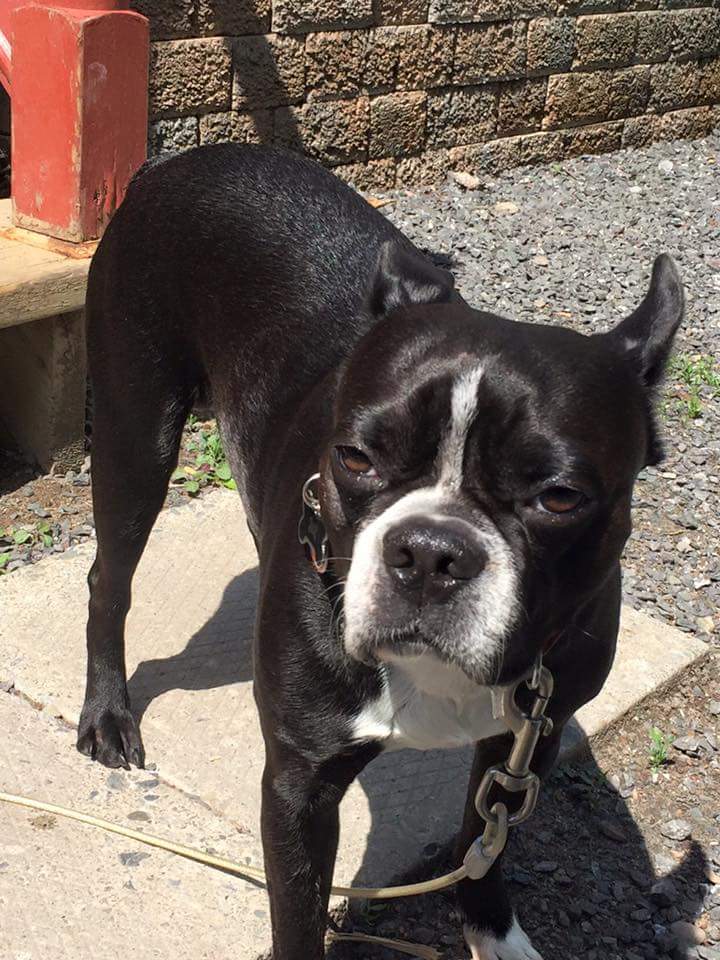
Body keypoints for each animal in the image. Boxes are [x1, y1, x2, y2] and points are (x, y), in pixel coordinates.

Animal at [77, 143, 683, 960]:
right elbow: (298, 916)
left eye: (559, 497)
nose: (429, 550)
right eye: (356, 458)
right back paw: (108, 714)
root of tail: (181, 160)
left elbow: (483, 844)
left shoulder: (527, 741)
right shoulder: (300, 785)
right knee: (109, 579)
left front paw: (492, 930)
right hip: (135, 434)